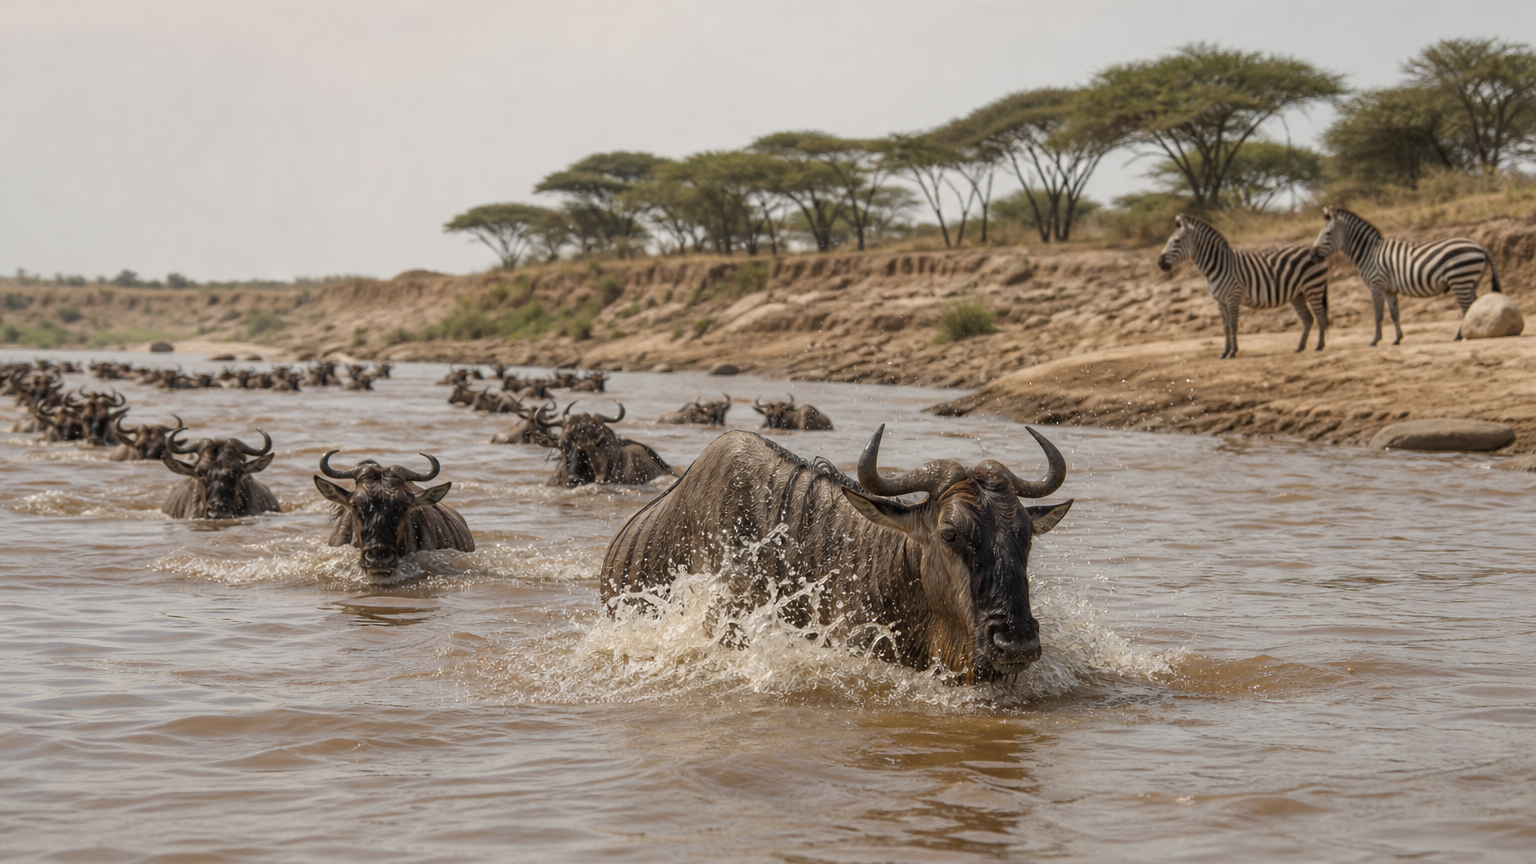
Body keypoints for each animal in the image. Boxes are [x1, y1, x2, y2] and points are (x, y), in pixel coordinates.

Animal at [1157, 215, 1330, 359]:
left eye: (1176, 241)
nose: (1160, 263)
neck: (1218, 265)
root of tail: (1312, 250)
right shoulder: (1219, 301)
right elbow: (1225, 326)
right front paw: (1225, 352)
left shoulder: (1233, 296)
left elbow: (1233, 325)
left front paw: (1233, 352)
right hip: (1297, 294)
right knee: (1308, 318)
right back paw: (1300, 347)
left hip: (1313, 287)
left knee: (1321, 316)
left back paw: (1319, 346)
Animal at [1308, 206, 1502, 346]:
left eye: (1328, 234)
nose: (1311, 256)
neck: (1369, 253)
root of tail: (1479, 245)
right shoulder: (1389, 289)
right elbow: (1395, 314)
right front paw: (1397, 339)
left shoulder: (1376, 284)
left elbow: (1378, 314)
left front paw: (1374, 340)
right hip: (1470, 281)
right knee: (1474, 306)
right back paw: (1466, 335)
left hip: (1460, 279)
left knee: (1467, 308)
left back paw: (1459, 336)